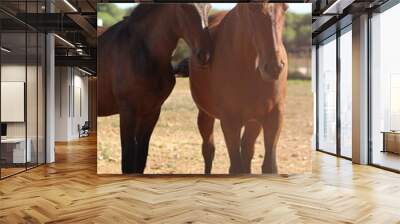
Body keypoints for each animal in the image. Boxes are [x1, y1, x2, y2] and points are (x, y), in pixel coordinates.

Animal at [98, 4, 211, 174]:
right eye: (184, 6)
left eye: (209, 7)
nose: (204, 55)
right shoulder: (127, 112)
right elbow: (128, 161)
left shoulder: (151, 112)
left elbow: (140, 161)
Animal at [191, 3, 288, 174]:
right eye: (252, 7)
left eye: (285, 7)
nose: (274, 67)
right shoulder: (230, 121)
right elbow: (236, 168)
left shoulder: (275, 116)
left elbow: (269, 167)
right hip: (205, 114)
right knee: (208, 150)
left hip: (254, 121)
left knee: (247, 150)